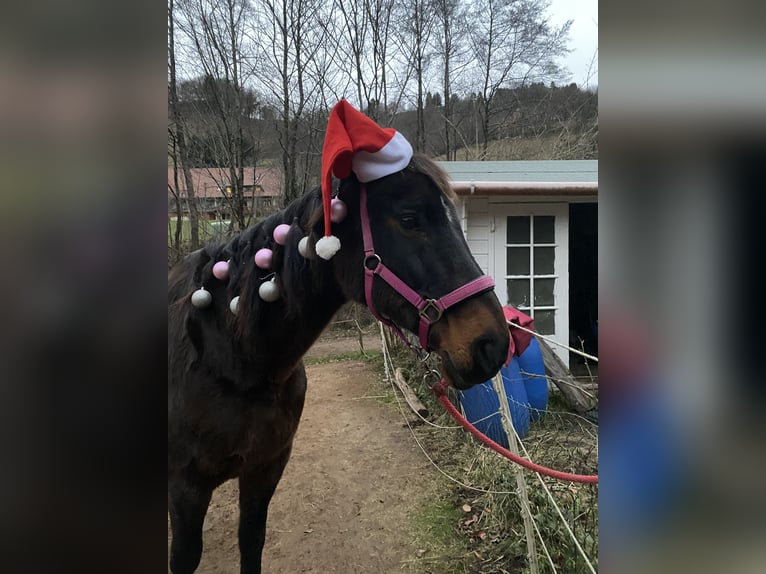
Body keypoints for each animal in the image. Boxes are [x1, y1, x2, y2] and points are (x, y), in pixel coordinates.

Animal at [167, 154, 510, 573]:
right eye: (410, 218)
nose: (493, 343)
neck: (232, 359)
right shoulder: (186, 488)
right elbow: (185, 557)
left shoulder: (265, 468)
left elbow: (251, 541)